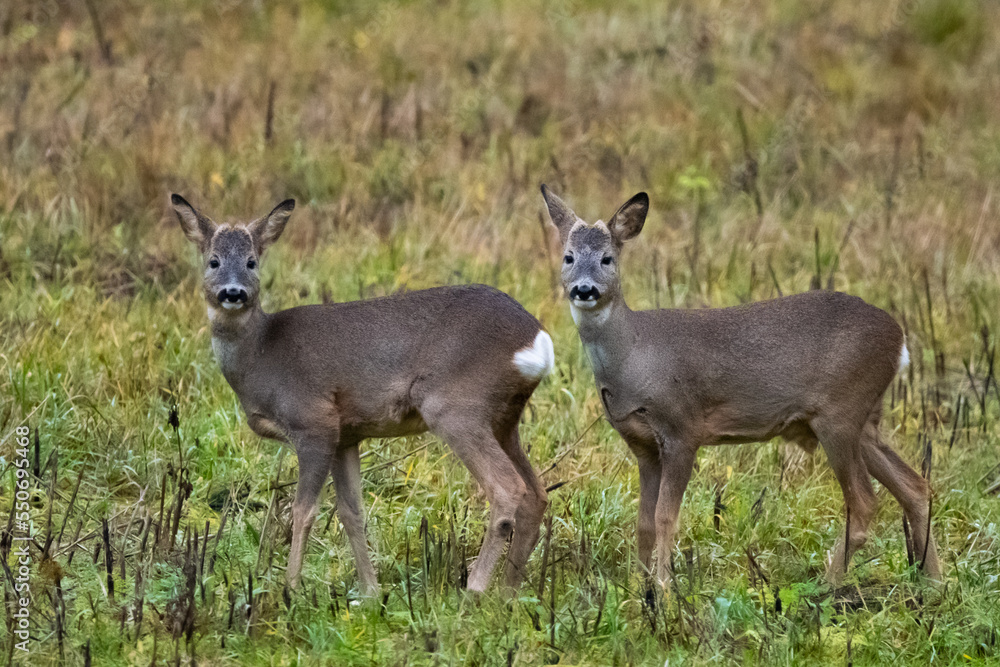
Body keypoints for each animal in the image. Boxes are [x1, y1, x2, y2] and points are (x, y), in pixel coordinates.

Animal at [171, 194, 553, 594]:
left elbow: (303, 511)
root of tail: (536, 340)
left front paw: (291, 587)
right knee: (537, 494)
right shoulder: (347, 434)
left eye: (251, 261)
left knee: (508, 488)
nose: (233, 293)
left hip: (455, 405)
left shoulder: (314, 421)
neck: (261, 354)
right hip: (505, 418)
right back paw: (509, 592)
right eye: (213, 260)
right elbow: (352, 512)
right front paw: (370, 590)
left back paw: (475, 589)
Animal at [540, 185, 941, 590]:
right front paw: (639, 588)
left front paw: (665, 589)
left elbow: (666, 517)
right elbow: (643, 523)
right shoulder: (643, 446)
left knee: (864, 502)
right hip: (866, 419)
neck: (635, 358)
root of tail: (900, 341)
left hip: (840, 412)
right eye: (569, 257)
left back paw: (827, 585)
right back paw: (935, 582)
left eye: (607, 259)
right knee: (916, 486)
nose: (584, 289)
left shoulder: (682, 428)